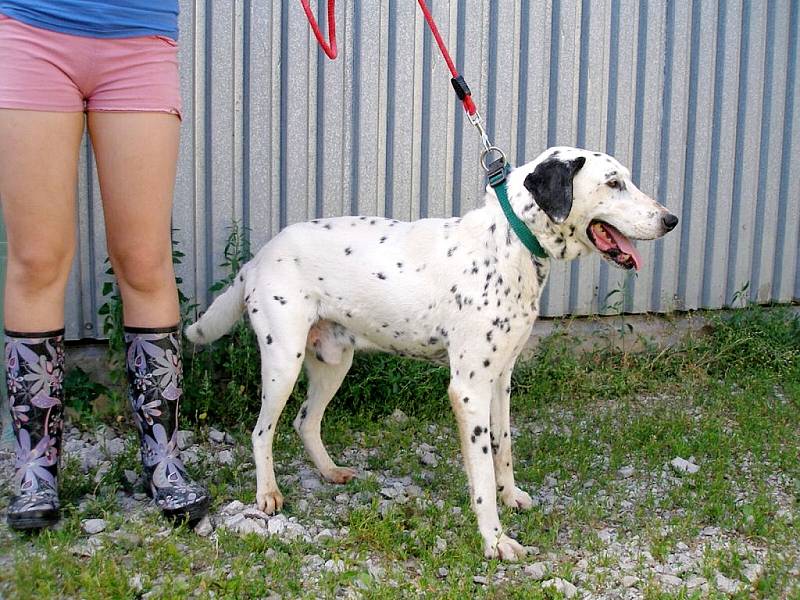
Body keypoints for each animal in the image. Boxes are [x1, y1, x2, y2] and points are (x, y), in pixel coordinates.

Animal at [186, 148, 676, 560]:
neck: (512, 243)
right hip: (283, 363)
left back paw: (330, 472)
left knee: (305, 422)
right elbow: (481, 474)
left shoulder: (501, 379)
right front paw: (494, 539)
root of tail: (257, 259)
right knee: (261, 431)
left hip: (333, 362)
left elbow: (503, 448)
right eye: (613, 183)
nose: (671, 220)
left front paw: (510, 496)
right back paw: (267, 493)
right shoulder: (468, 388)